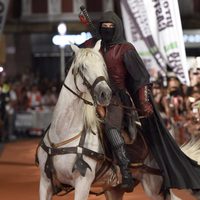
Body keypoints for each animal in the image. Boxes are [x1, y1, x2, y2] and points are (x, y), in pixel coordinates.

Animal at [36, 39, 200, 199]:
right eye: (82, 67)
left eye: (103, 65)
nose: (105, 94)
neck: (62, 135)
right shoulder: (45, 183)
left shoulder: (83, 183)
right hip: (113, 190)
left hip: (154, 187)